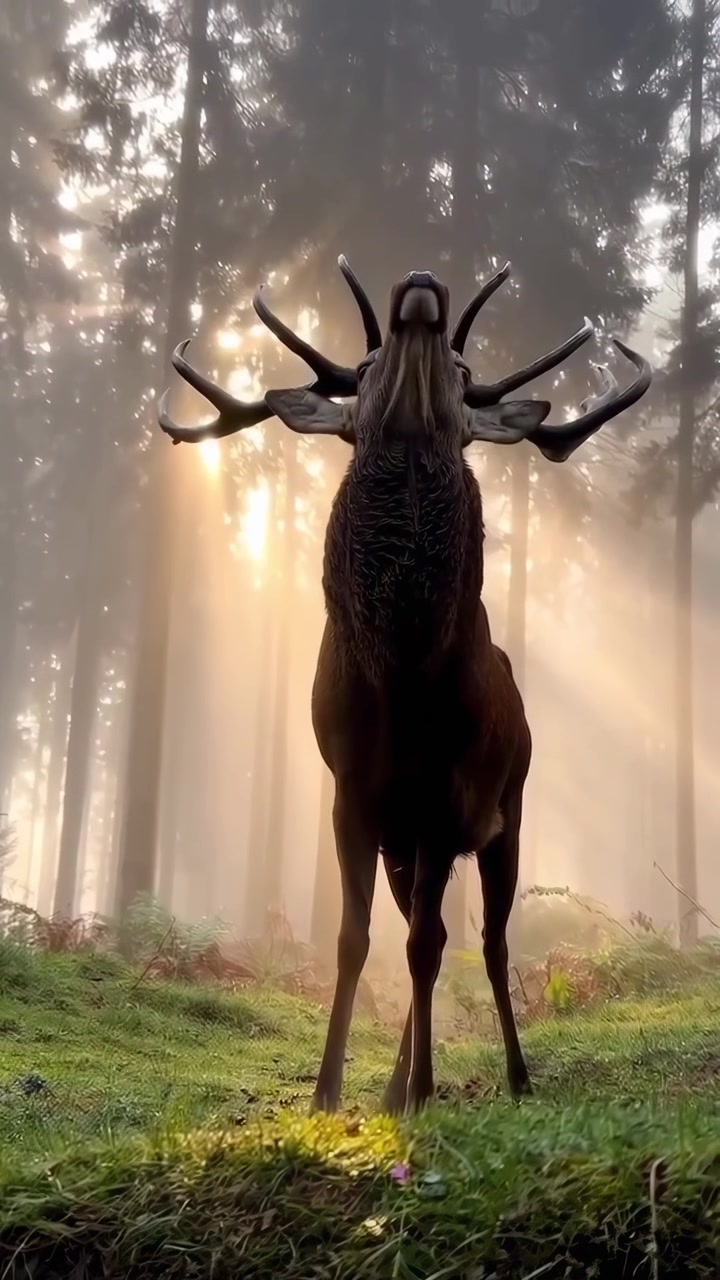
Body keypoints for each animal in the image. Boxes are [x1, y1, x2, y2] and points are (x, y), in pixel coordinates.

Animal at [159, 257, 651, 1114]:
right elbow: (354, 940)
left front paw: (423, 1087)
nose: (421, 284)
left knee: (486, 942)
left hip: (506, 812)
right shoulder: (353, 794)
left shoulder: (446, 801)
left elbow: (428, 946)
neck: (401, 681)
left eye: (460, 373)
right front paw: (329, 1092)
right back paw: (394, 1084)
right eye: (363, 373)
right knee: (437, 933)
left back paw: (511, 1076)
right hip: (410, 840)